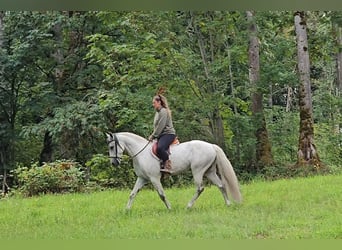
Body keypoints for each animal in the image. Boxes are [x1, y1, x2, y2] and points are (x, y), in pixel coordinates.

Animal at [105, 132, 242, 210]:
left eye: (111, 147)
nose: (114, 163)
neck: (141, 153)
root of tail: (211, 146)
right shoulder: (142, 178)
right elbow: (132, 194)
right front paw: (127, 210)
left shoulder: (154, 178)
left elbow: (161, 194)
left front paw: (170, 208)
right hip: (210, 172)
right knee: (221, 185)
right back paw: (228, 204)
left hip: (198, 171)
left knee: (200, 188)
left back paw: (188, 206)